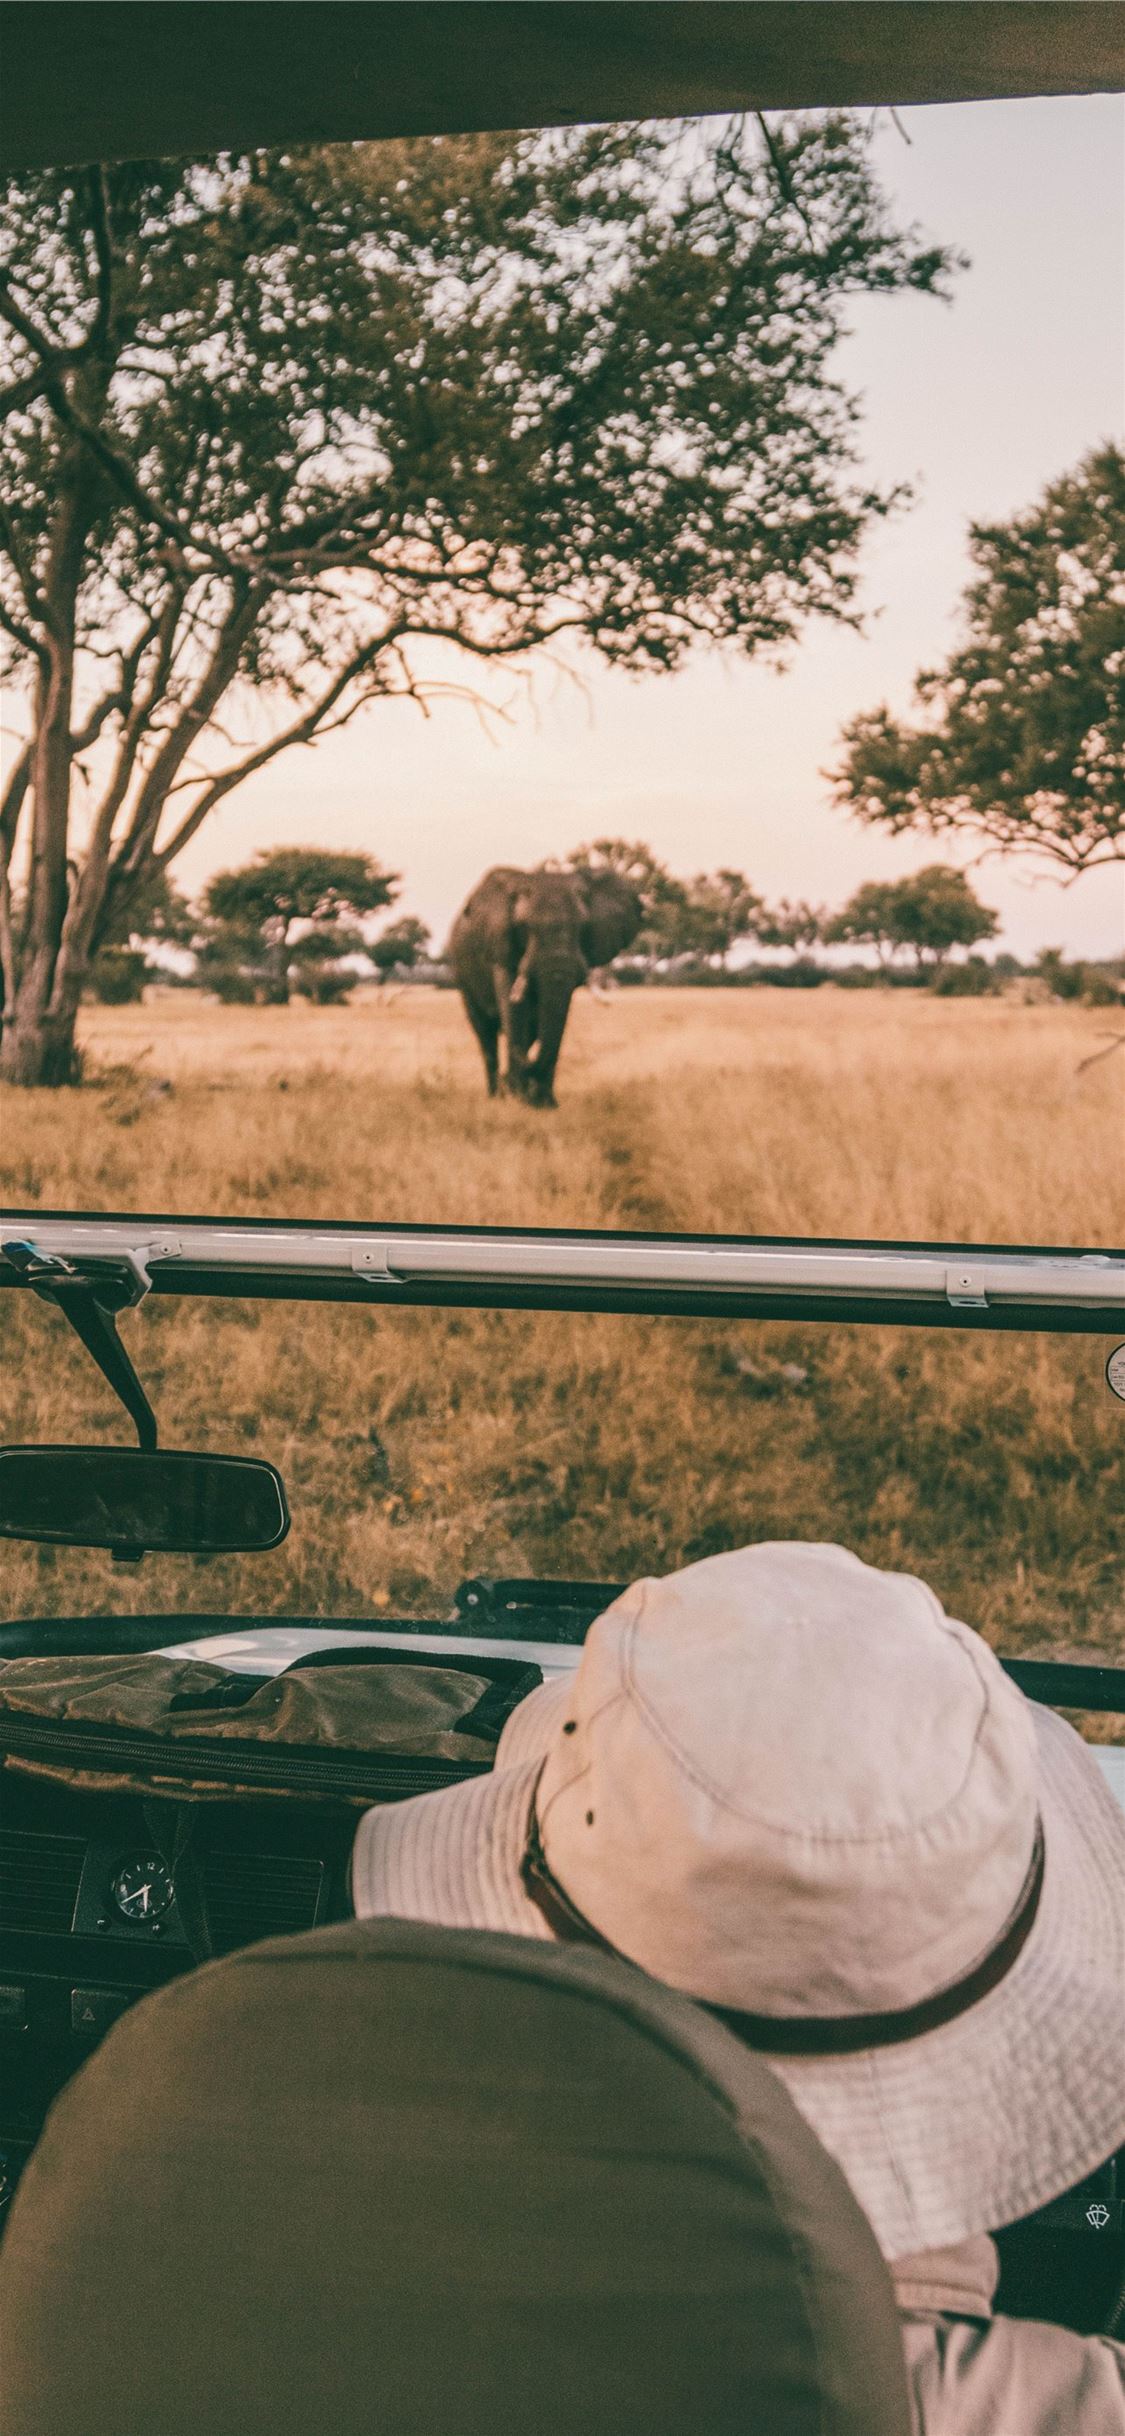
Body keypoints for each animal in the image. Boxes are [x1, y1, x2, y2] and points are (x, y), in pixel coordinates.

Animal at [448, 867, 642, 1105]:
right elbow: (514, 1011)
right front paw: (518, 1100)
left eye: (582, 927)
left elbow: (554, 1017)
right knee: (485, 1033)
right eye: (524, 927)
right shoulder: (502, 948)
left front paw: (544, 1104)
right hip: (463, 975)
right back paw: (496, 1096)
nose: (510, 1081)